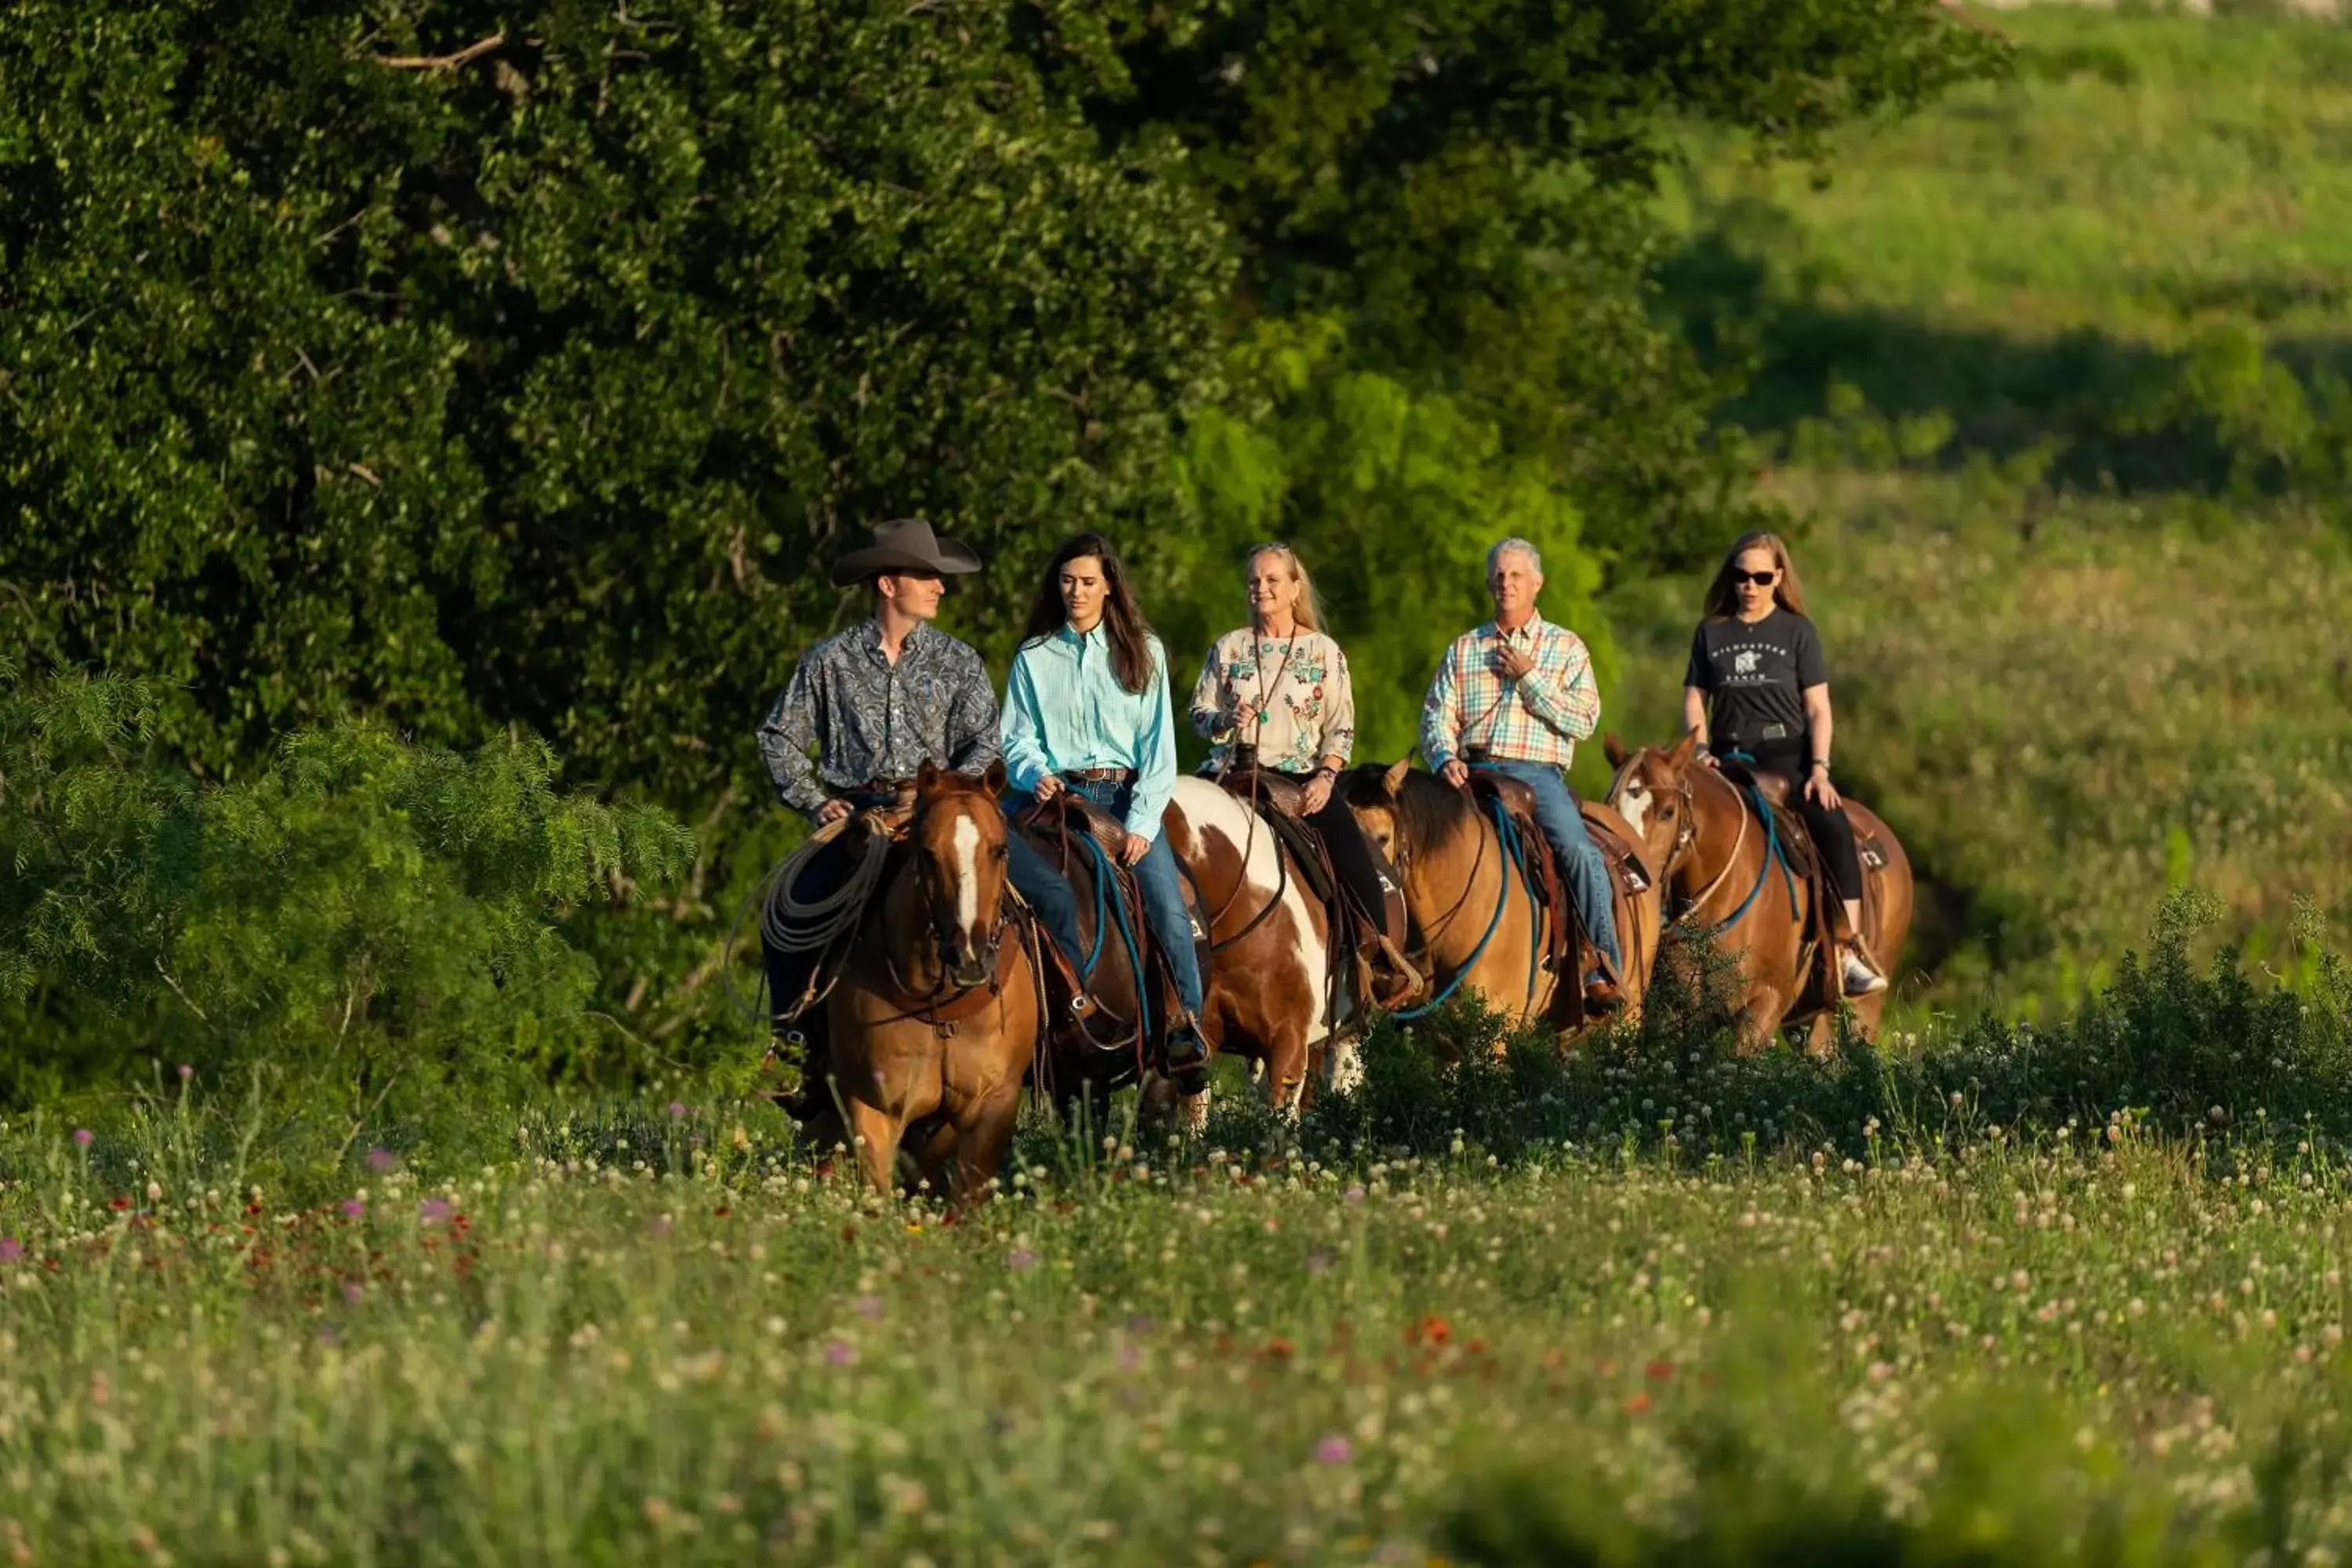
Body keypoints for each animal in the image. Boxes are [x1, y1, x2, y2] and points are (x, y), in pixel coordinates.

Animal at [800, 761, 1040, 1203]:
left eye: (1000, 850)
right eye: (927, 854)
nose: (970, 957)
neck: (941, 1006)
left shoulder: (992, 1106)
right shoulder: (874, 1108)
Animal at [1609, 733, 1919, 1053]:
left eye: (1668, 812)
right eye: (1613, 807)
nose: (1629, 874)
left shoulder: (1764, 1004)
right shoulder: (1679, 1010)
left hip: (1866, 1008)